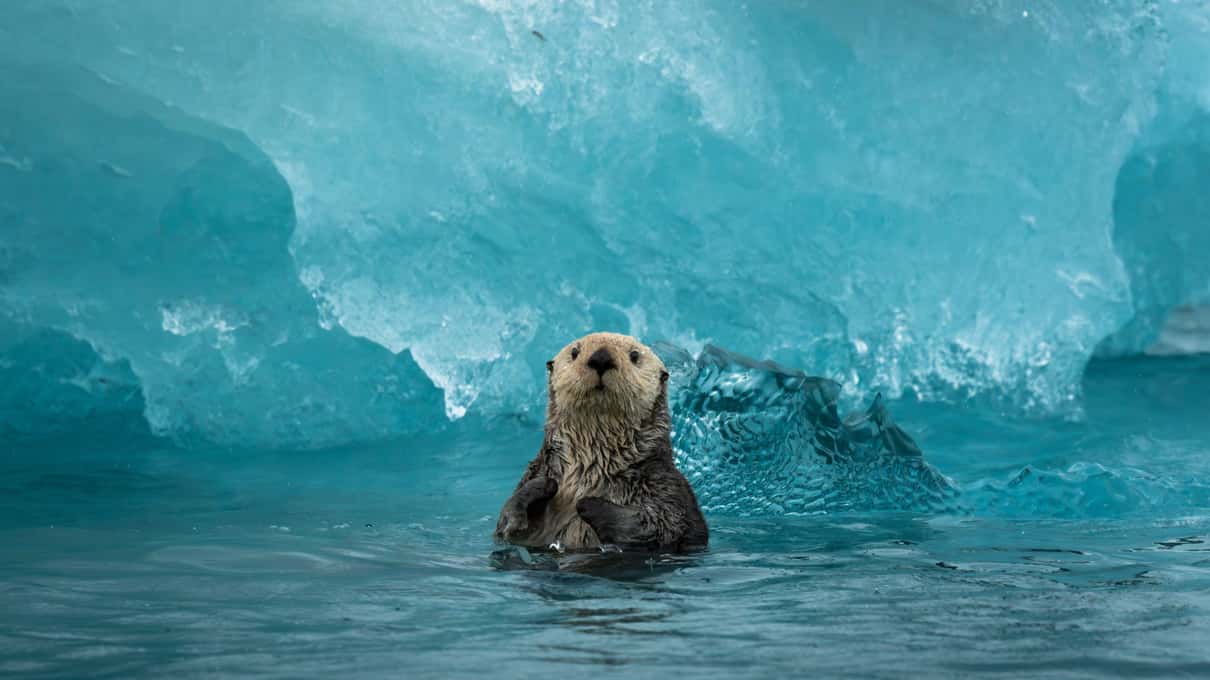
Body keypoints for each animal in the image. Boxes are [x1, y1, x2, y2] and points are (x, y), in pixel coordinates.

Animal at [494, 332, 708, 552]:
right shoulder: (538, 470)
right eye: (574, 351)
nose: (601, 358)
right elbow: (506, 526)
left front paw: (587, 503)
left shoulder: (663, 485)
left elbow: (663, 526)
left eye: (634, 355)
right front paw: (542, 487)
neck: (590, 466)